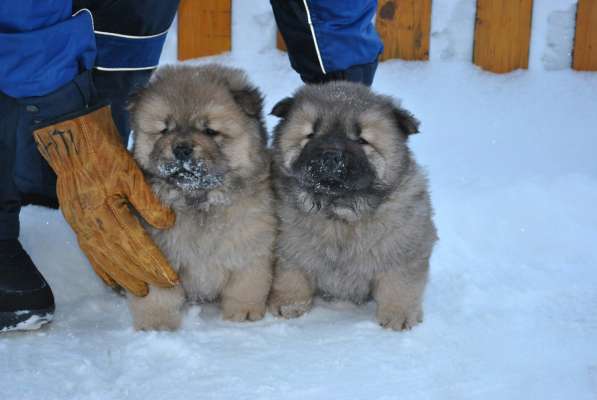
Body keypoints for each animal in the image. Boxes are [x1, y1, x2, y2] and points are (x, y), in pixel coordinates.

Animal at [127, 64, 274, 330]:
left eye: (210, 131)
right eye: (165, 129)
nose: (181, 148)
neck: (199, 203)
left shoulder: (249, 247)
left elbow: (246, 286)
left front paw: (243, 314)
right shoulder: (153, 255)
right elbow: (158, 296)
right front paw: (157, 325)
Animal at [268, 82, 436, 332]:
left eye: (362, 140)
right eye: (311, 134)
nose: (330, 155)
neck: (339, 214)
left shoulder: (404, 249)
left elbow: (400, 285)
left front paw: (398, 317)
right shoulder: (290, 250)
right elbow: (292, 276)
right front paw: (288, 306)